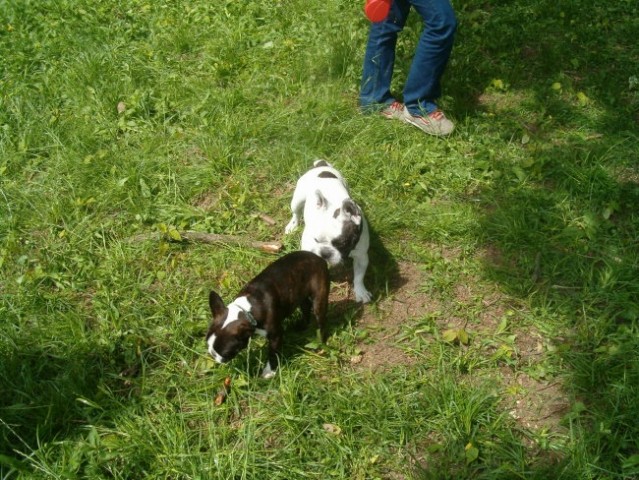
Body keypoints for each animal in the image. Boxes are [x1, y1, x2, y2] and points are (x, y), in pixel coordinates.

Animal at [286, 161, 376, 304]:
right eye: (315, 240)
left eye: (343, 243)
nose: (325, 253)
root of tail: (321, 165)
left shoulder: (361, 256)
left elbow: (359, 276)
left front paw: (361, 292)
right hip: (297, 199)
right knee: (296, 212)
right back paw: (292, 226)